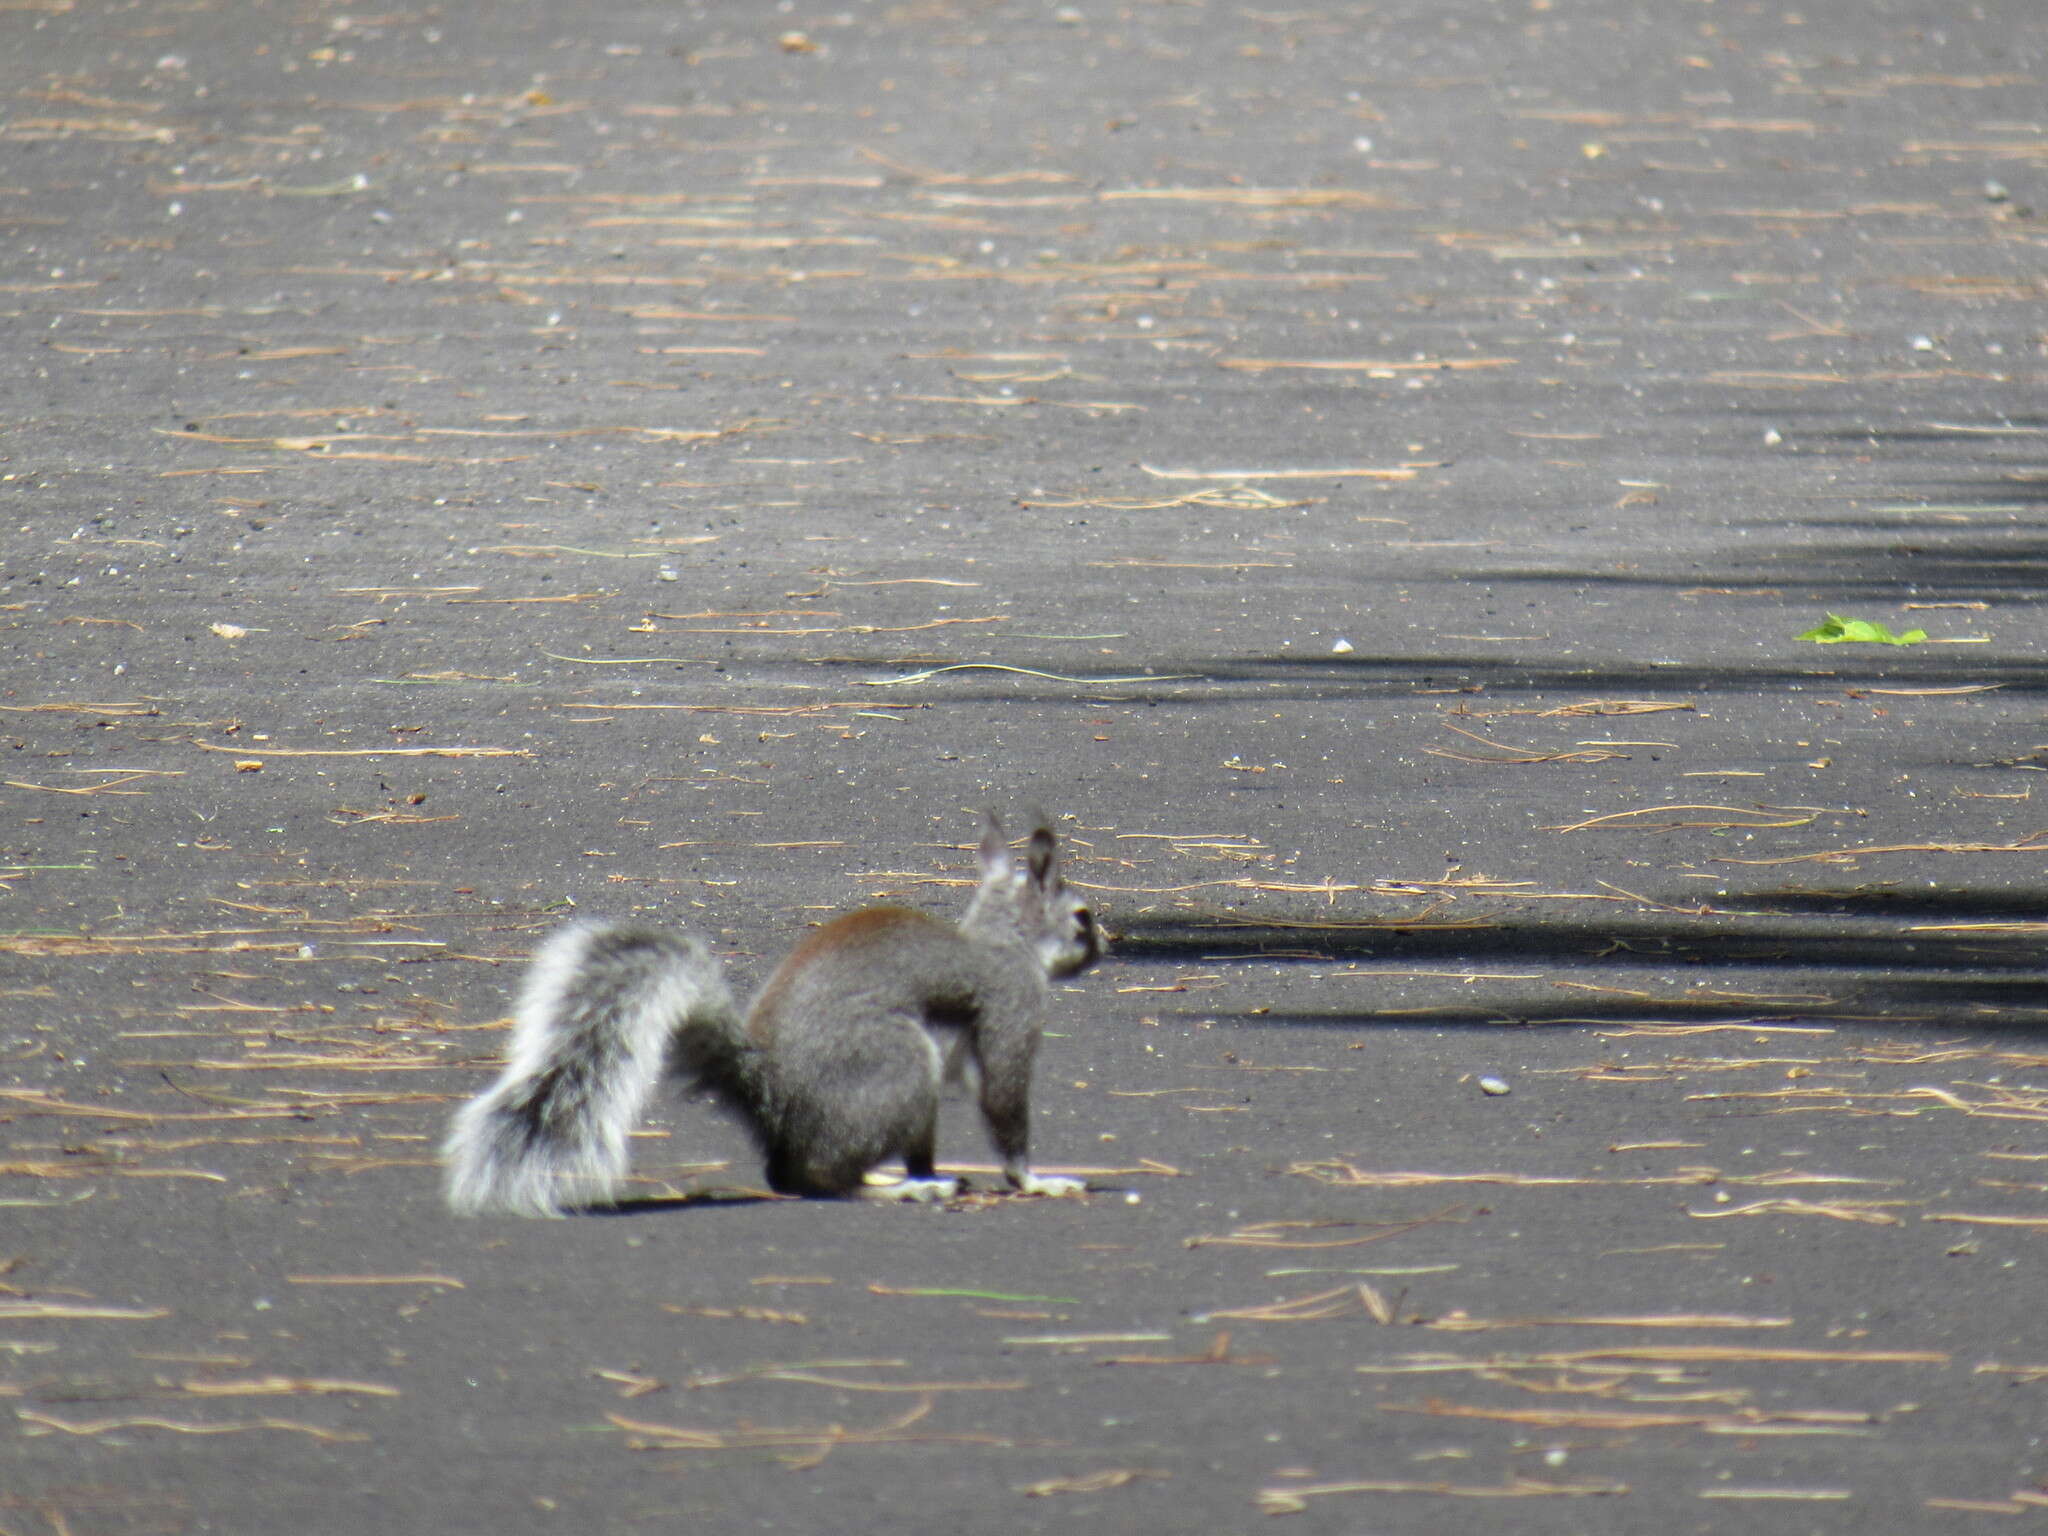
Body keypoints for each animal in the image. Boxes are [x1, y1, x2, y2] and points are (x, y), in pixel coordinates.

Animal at [438, 811, 1097, 1220]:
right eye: (1083, 917)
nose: (1106, 944)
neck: (1002, 940)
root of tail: (776, 1098)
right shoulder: (1012, 1000)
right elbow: (1006, 1102)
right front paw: (1036, 1180)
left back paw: (918, 1178)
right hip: (896, 1063)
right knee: (823, 1177)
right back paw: (899, 1189)